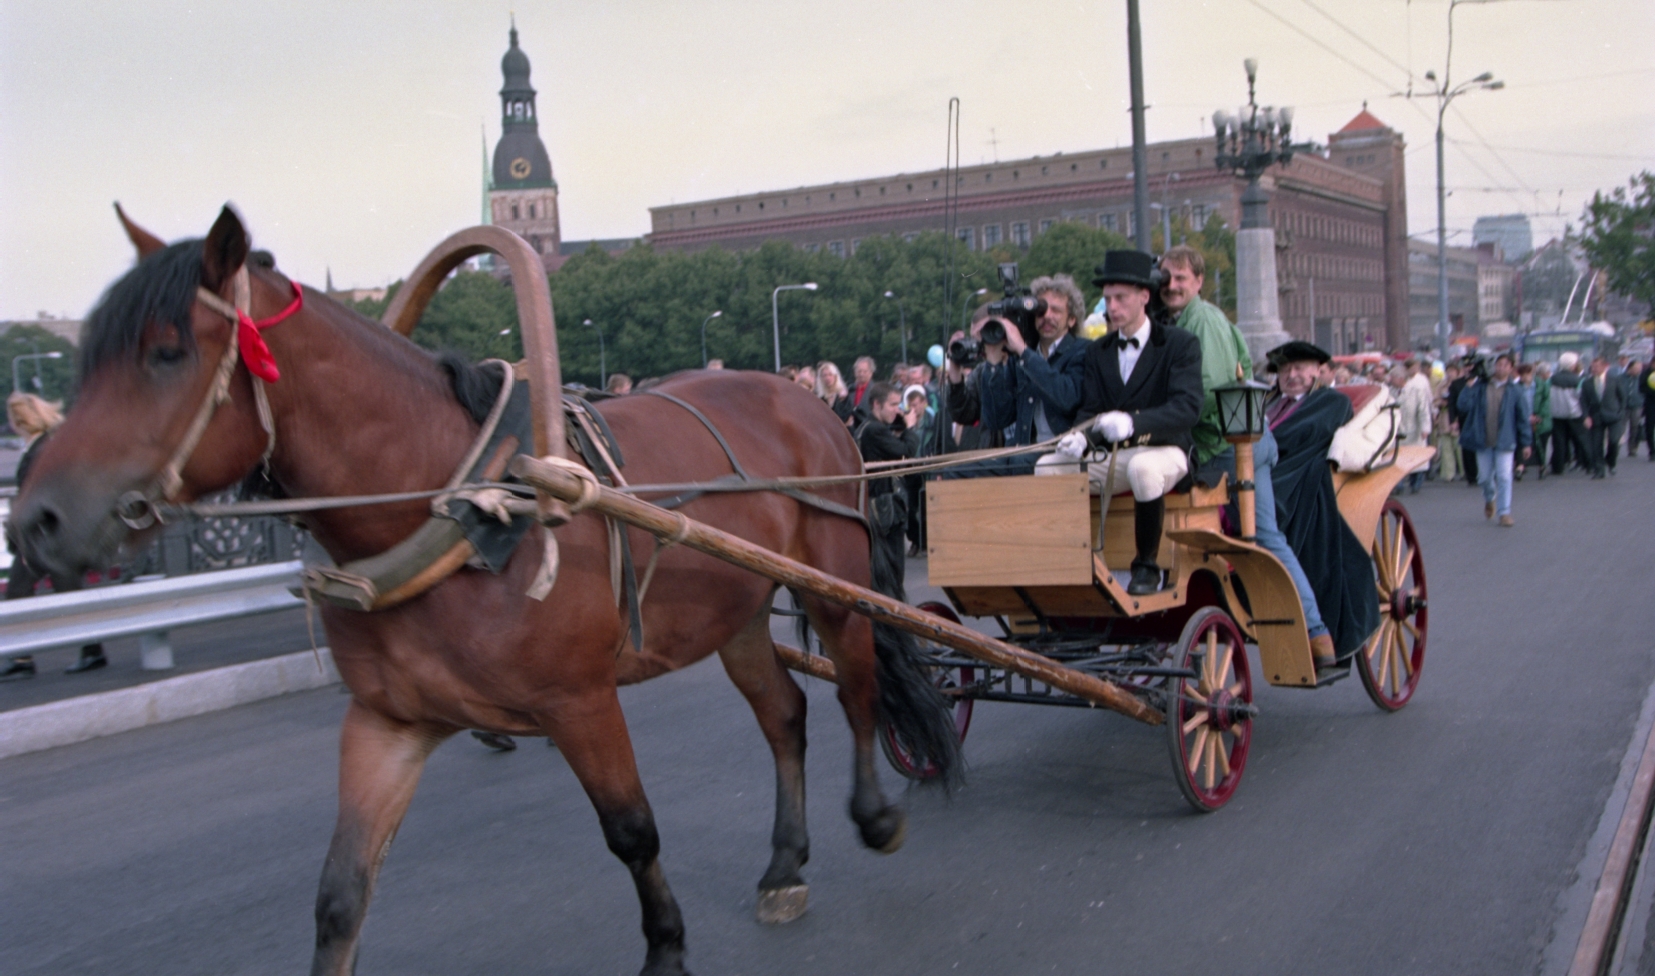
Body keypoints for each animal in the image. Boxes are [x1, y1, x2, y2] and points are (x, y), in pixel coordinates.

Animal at [11, 205, 957, 976]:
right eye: (84, 359)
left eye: (167, 352)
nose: (37, 521)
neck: (463, 510)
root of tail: (805, 405)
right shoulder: (388, 723)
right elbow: (340, 893)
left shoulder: (580, 702)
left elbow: (632, 831)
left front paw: (665, 948)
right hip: (738, 613)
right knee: (783, 716)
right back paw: (784, 863)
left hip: (834, 585)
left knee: (860, 690)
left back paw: (873, 816)